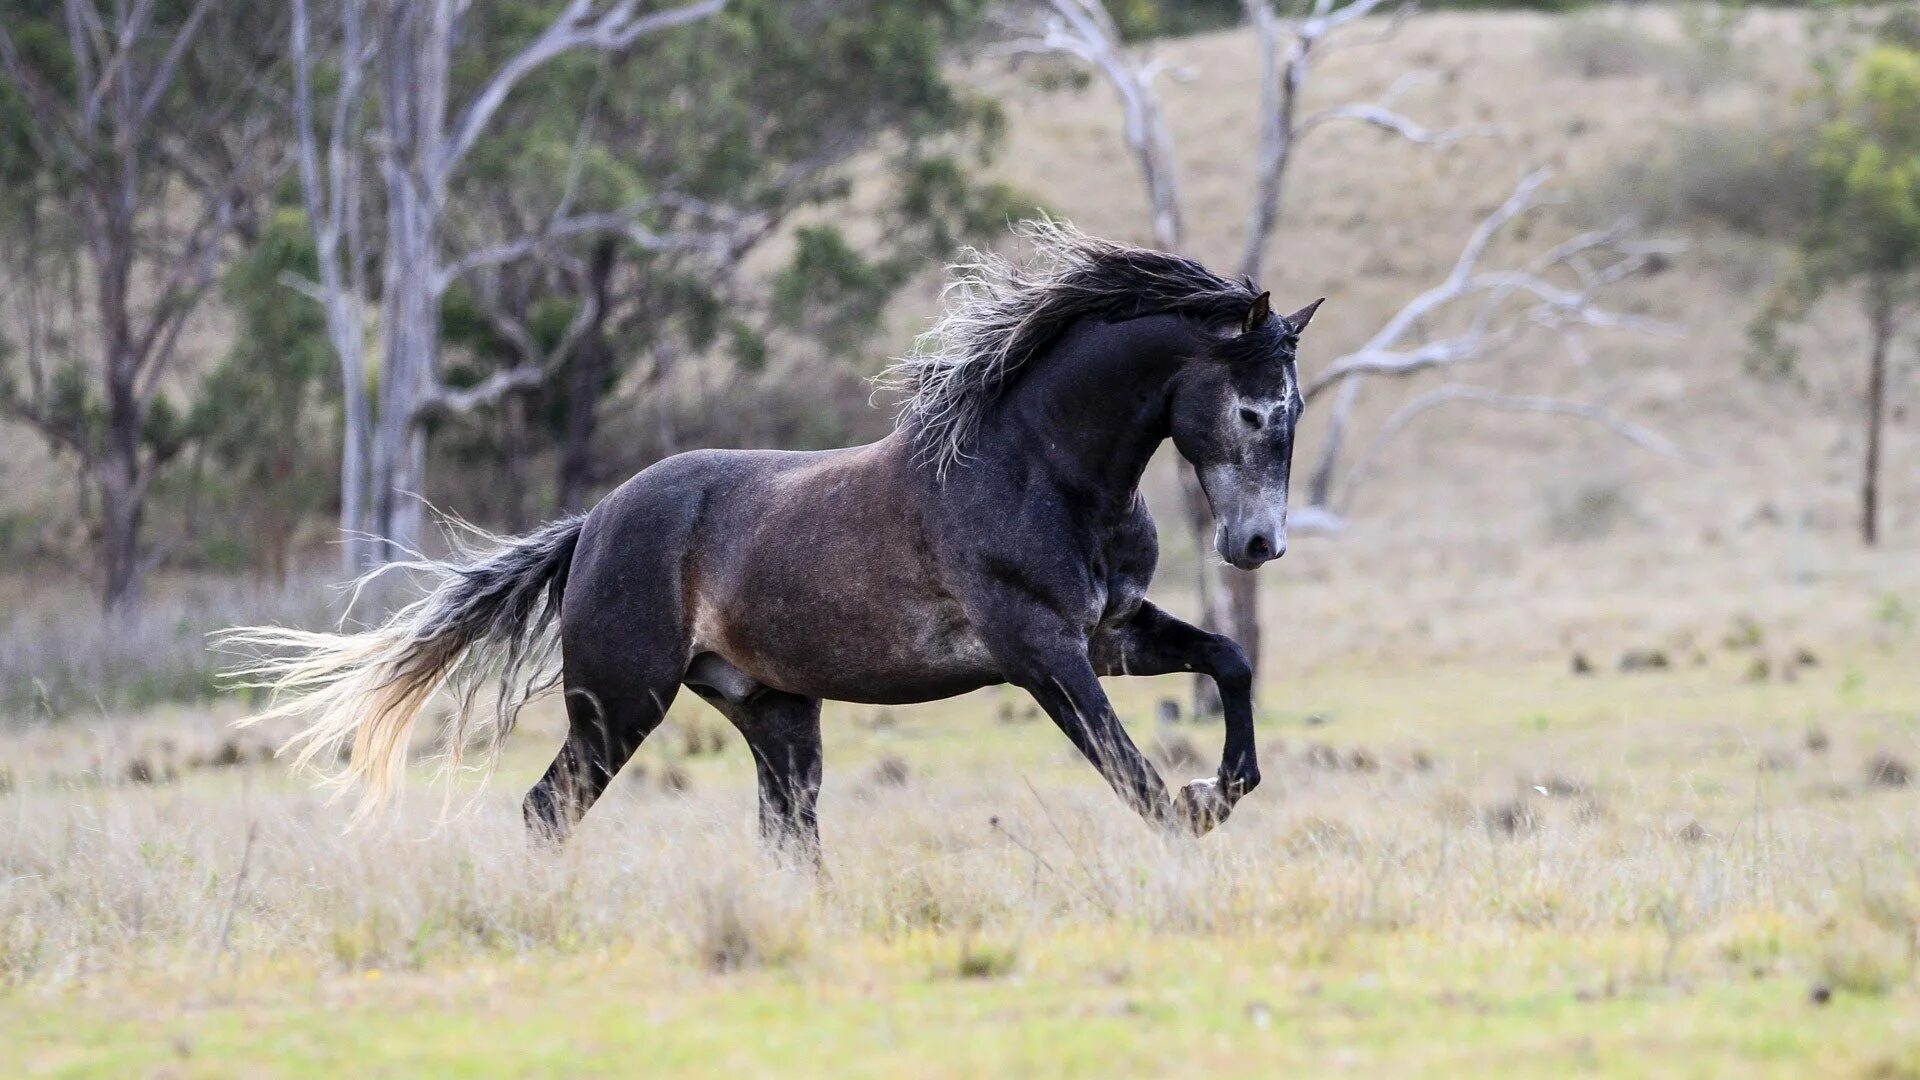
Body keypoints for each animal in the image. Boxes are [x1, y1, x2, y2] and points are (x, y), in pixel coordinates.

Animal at [224, 222, 1320, 860]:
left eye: (1293, 410)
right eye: (1254, 411)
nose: (1258, 543)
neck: (1037, 471)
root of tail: (596, 525)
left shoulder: (1111, 633)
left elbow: (1228, 660)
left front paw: (1225, 786)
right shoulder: (1043, 652)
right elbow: (1129, 772)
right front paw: (1195, 809)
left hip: (775, 713)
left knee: (787, 835)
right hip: (619, 704)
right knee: (547, 810)